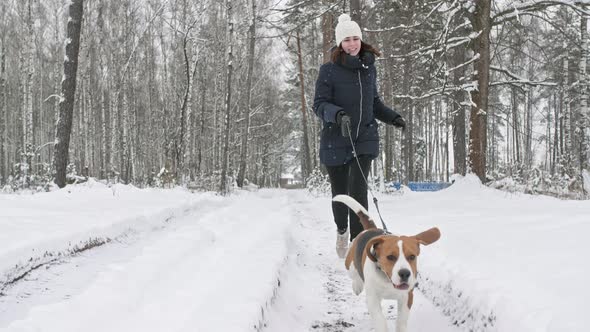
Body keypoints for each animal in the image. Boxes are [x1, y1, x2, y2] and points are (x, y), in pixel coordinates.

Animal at [332, 195, 440, 332]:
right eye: (390, 257)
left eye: (412, 257)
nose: (405, 274)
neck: (388, 280)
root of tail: (371, 228)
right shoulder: (372, 298)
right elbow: (380, 321)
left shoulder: (407, 297)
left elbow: (401, 321)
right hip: (350, 265)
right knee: (354, 275)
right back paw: (357, 285)